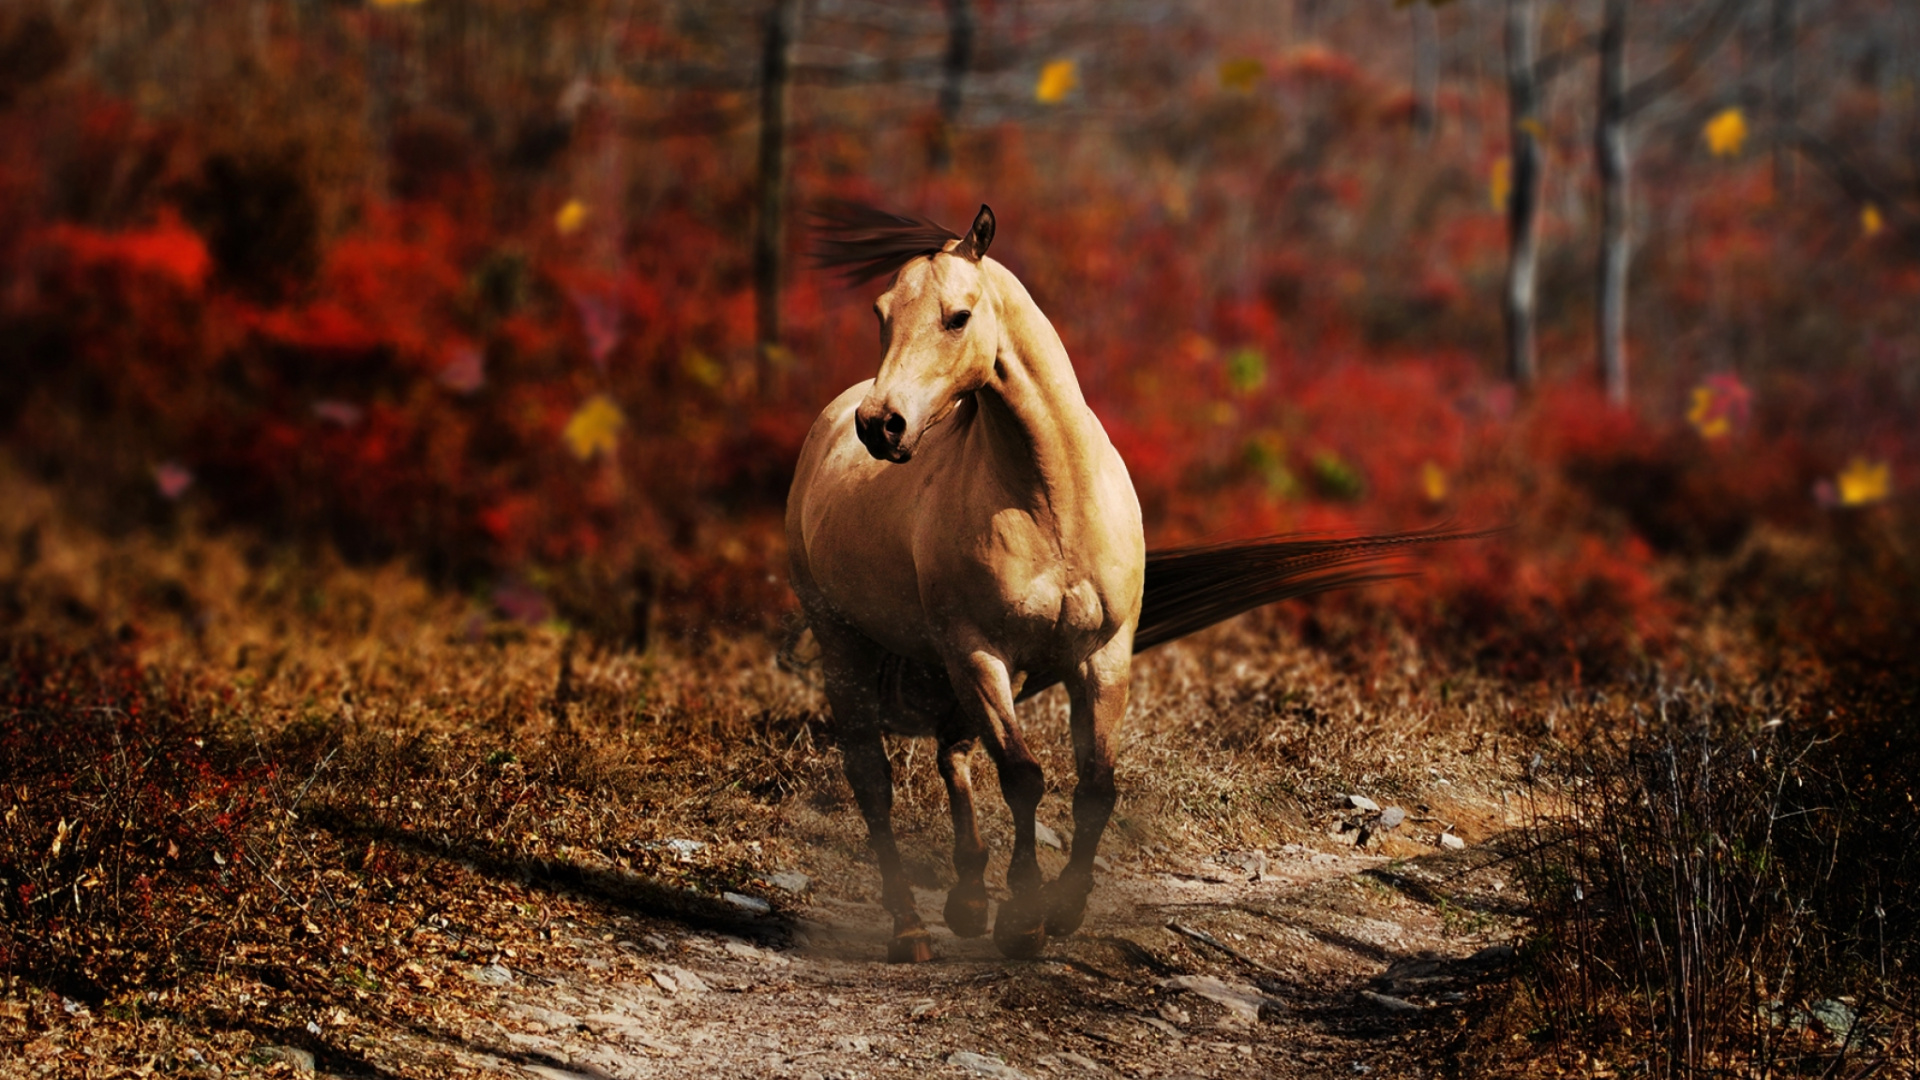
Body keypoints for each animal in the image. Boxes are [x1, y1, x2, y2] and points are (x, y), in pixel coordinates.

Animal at [789, 202, 1472, 963]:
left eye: (957, 316)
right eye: (882, 313)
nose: (882, 426)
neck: (1050, 498)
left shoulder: (1100, 654)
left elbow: (1096, 786)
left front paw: (1060, 909)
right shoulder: (980, 651)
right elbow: (1024, 777)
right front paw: (1023, 918)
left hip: (957, 663)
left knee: (952, 753)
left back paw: (966, 901)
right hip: (854, 642)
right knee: (874, 780)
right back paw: (911, 930)